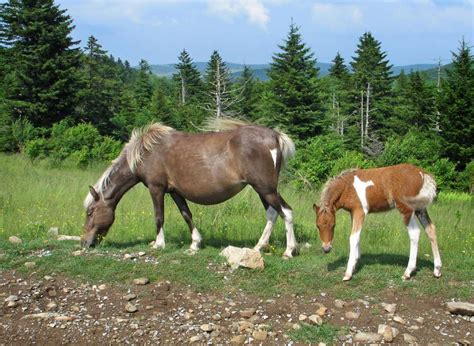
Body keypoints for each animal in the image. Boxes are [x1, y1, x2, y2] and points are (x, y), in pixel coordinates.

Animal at [82, 118, 296, 256]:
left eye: (90, 212)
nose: (85, 242)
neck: (146, 152)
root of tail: (274, 136)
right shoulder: (175, 192)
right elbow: (186, 215)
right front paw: (195, 243)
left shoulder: (156, 188)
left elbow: (159, 216)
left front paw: (158, 244)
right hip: (263, 189)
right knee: (272, 213)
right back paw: (259, 247)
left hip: (265, 188)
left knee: (285, 211)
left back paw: (289, 250)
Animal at [312, 164, 442, 282]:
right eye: (318, 226)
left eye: (333, 225)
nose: (326, 249)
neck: (347, 187)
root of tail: (423, 174)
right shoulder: (353, 213)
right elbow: (357, 235)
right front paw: (355, 263)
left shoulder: (360, 211)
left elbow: (353, 237)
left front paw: (348, 273)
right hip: (420, 208)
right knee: (430, 229)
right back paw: (437, 270)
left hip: (407, 209)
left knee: (415, 233)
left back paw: (408, 272)